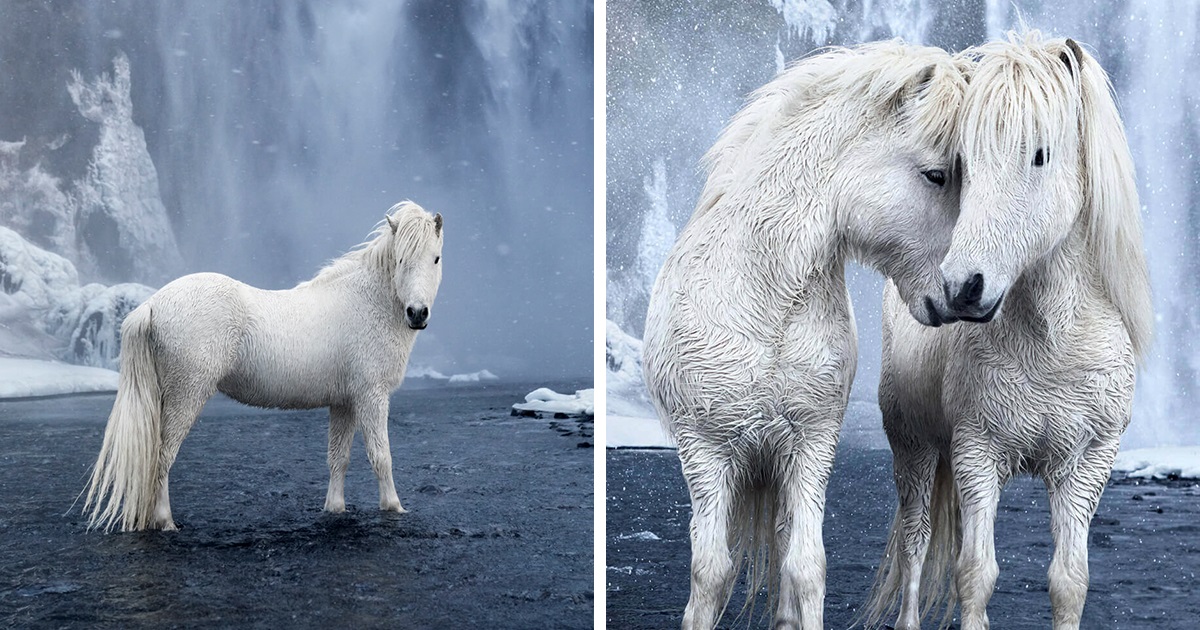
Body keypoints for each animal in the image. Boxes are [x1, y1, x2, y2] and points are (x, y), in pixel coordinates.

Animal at [83, 200, 446, 530]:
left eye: (435, 258)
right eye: (401, 259)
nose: (417, 313)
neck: (366, 302)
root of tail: (153, 304)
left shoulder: (344, 402)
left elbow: (338, 458)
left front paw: (335, 508)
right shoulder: (372, 396)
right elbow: (381, 456)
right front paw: (394, 507)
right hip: (186, 395)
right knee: (162, 456)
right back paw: (165, 521)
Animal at [643, 41, 969, 624]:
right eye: (935, 175)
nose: (961, 294)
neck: (763, 303)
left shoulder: (811, 447)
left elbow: (805, 568)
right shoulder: (704, 452)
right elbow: (710, 574)